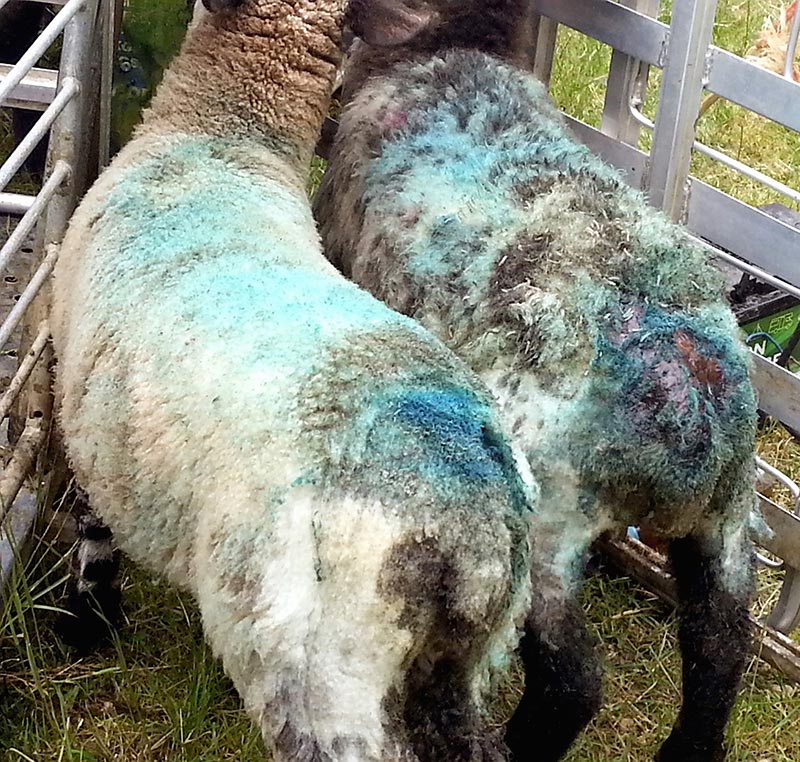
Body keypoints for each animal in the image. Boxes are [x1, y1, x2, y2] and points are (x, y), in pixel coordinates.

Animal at [48, 2, 536, 756]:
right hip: (465, 662)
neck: (219, 141)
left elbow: (91, 526)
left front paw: (87, 620)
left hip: (321, 666)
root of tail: (473, 532)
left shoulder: (81, 407)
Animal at [312, 2, 756, 756]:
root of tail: (689, 400)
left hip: (551, 520)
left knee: (574, 679)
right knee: (719, 647)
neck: (454, 45)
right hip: (727, 519)